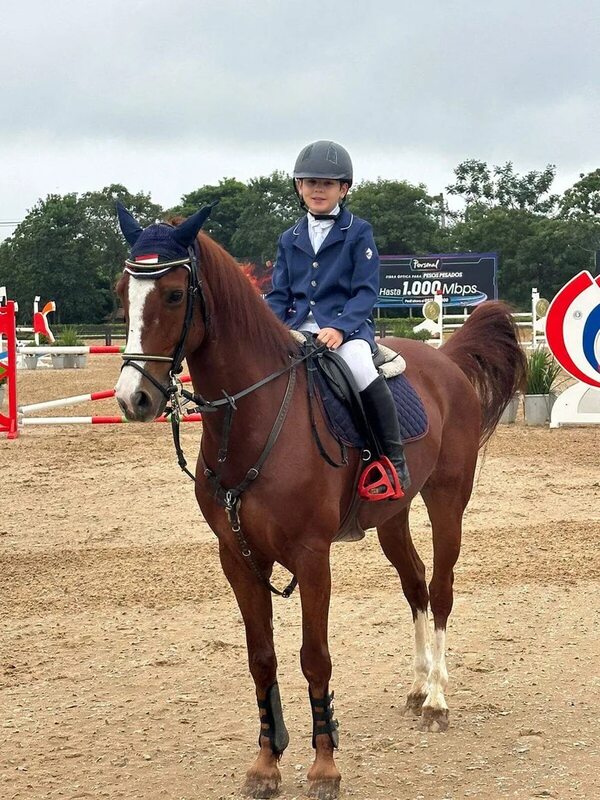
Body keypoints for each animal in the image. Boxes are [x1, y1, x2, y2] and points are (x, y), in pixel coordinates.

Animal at [113, 208, 524, 800]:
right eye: (124, 292)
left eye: (171, 294)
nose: (133, 399)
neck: (253, 416)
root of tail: (442, 359)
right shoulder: (237, 558)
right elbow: (262, 659)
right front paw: (266, 764)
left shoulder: (311, 557)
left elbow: (315, 659)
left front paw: (324, 767)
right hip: (392, 518)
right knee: (416, 585)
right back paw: (418, 687)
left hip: (448, 500)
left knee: (442, 588)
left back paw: (438, 700)